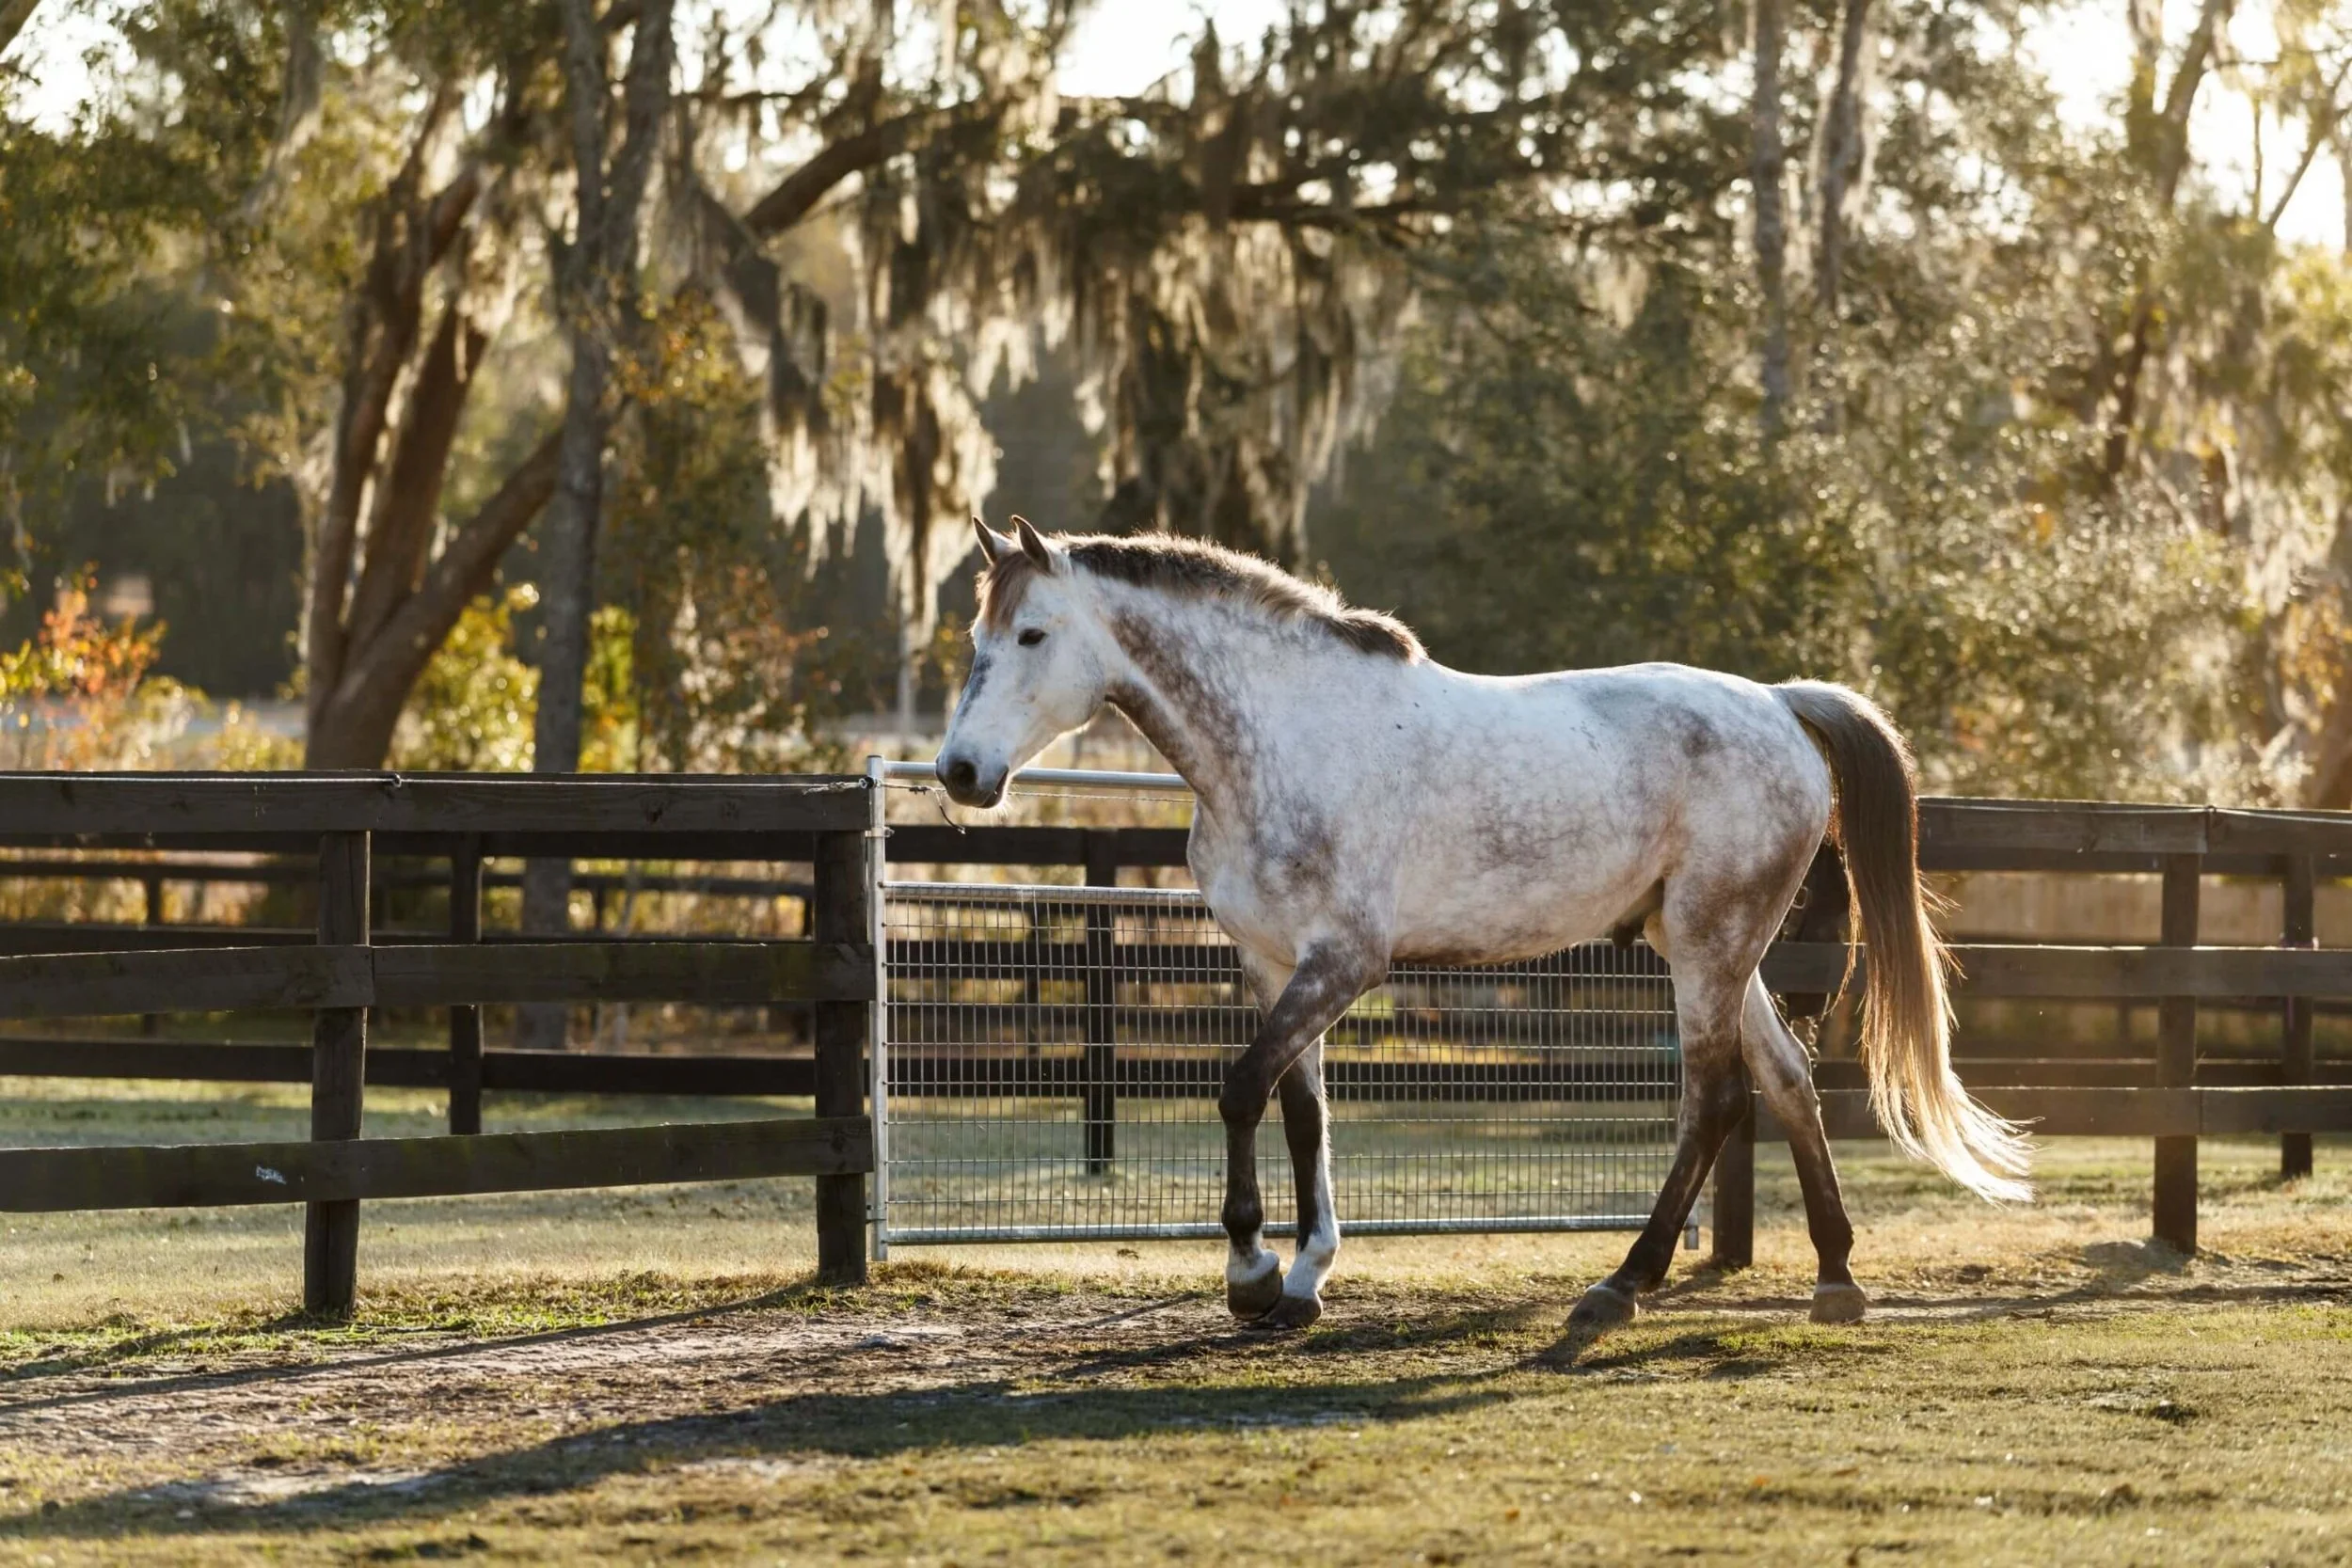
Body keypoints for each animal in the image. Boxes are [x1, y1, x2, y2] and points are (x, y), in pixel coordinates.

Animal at [934, 517, 2030, 1335]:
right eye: (978, 640)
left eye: (1032, 635)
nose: (959, 772)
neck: (1284, 737)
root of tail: (1779, 702)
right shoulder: (1271, 963)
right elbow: (1301, 1112)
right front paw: (1303, 1279)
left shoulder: (1344, 962)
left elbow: (1241, 1089)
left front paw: (1251, 1270)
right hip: (1709, 946)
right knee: (1789, 1079)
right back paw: (1834, 1277)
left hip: (1711, 947)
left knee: (1716, 1099)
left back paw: (1622, 1284)